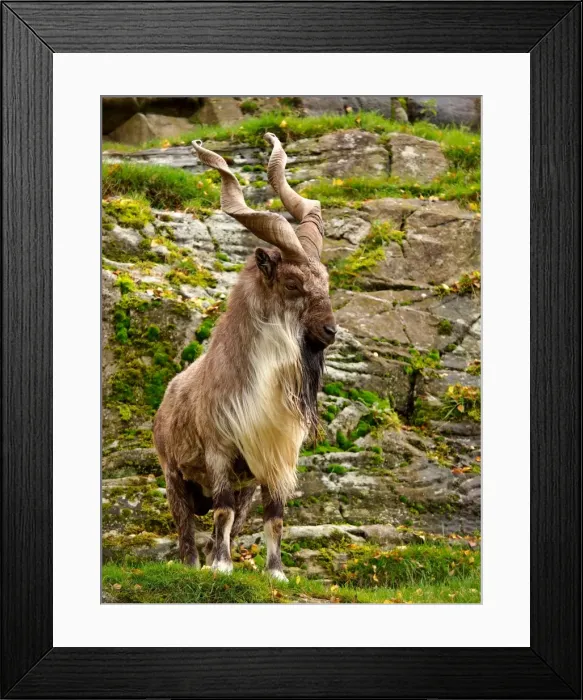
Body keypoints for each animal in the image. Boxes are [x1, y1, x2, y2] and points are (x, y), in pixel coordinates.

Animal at [153, 133, 336, 580]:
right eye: (292, 282)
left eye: (325, 280)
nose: (330, 331)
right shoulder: (219, 452)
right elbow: (220, 512)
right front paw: (220, 568)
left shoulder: (271, 463)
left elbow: (274, 518)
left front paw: (275, 572)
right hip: (174, 477)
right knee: (186, 528)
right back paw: (193, 565)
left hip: (244, 487)